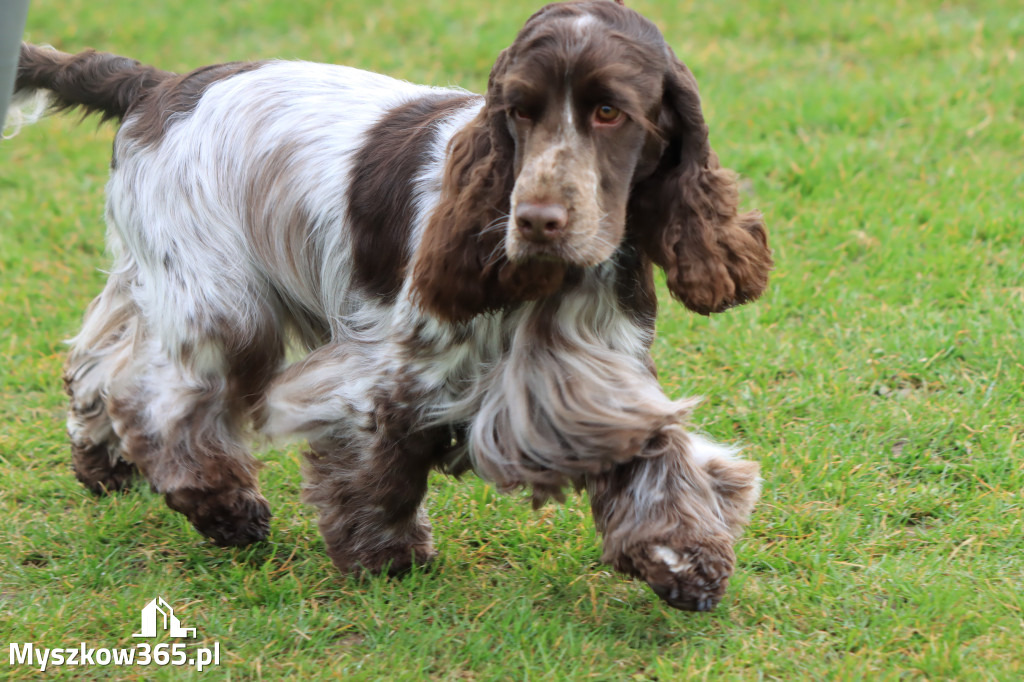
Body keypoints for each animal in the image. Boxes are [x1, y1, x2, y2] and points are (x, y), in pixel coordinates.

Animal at [8, 0, 770, 606]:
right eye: (518, 112)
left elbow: (655, 457)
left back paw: (101, 463)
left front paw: (686, 562)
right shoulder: (383, 370)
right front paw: (384, 557)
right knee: (158, 397)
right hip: (222, 300)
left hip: (159, 275)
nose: (536, 219)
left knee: (100, 361)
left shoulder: (593, 377)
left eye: (610, 112)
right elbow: (381, 467)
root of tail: (157, 85)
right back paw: (227, 510)